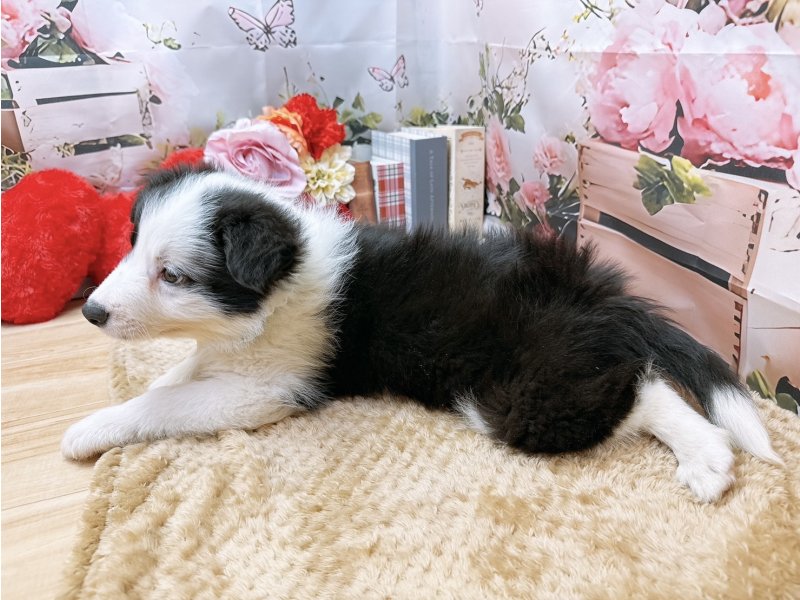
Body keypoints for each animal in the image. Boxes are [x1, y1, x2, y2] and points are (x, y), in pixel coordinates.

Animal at [62, 165, 781, 502]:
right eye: (130, 244)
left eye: (174, 275)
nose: (92, 312)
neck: (280, 280)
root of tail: (596, 290)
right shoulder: (235, 355)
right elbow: (176, 374)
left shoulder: (270, 387)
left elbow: (168, 403)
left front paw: (90, 430)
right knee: (643, 378)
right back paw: (709, 452)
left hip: (516, 391)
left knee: (631, 393)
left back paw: (705, 456)